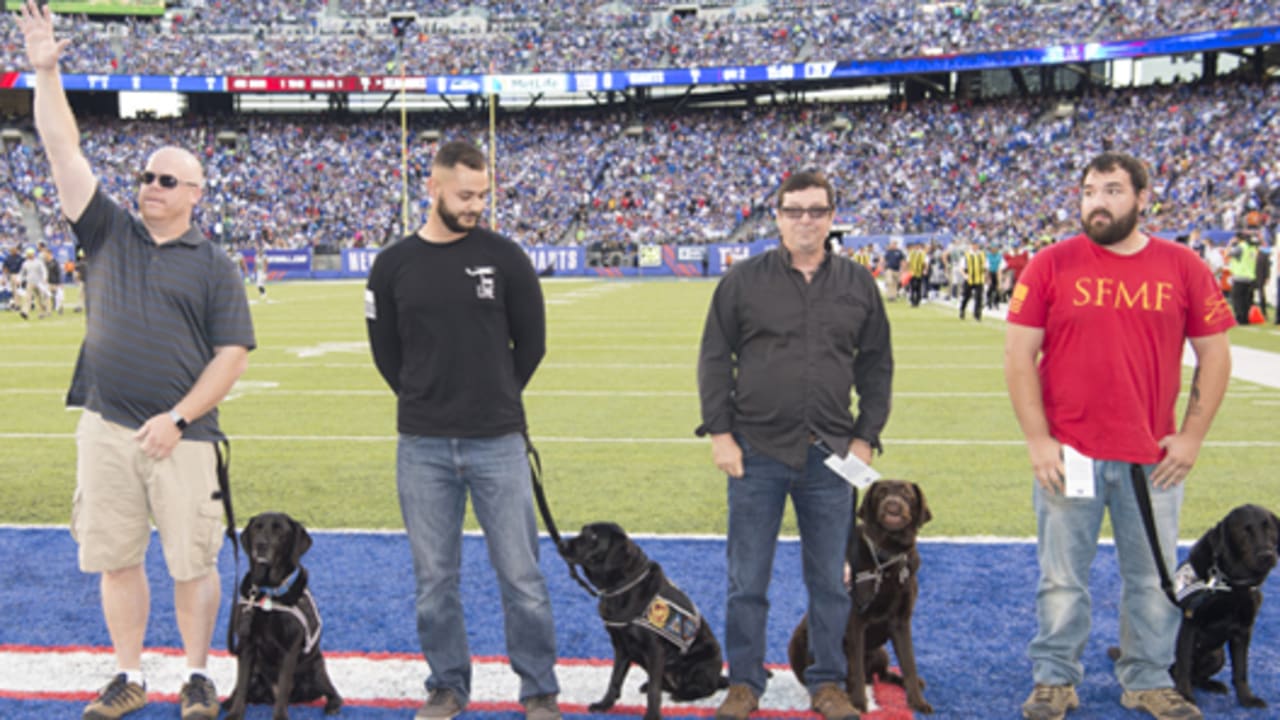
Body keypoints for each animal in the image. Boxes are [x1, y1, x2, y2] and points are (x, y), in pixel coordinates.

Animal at [225, 509, 343, 717]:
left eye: (279, 530)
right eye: (257, 528)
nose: (260, 545)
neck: (269, 591)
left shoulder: (290, 648)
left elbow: (284, 687)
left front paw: (280, 716)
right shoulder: (246, 644)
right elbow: (242, 683)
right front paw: (235, 713)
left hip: (317, 667)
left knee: (332, 691)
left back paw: (333, 705)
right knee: (242, 687)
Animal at [563, 520, 732, 717]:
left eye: (593, 536)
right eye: (583, 531)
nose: (562, 544)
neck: (621, 587)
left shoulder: (655, 650)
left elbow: (653, 691)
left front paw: (652, 715)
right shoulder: (621, 647)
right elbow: (615, 679)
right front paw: (604, 704)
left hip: (703, 660)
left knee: (706, 689)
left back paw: (683, 694)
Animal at [783, 476, 936, 712]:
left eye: (906, 494)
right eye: (882, 493)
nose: (892, 504)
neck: (886, 558)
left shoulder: (901, 621)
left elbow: (909, 663)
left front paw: (918, 701)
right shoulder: (855, 620)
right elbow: (856, 668)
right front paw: (858, 704)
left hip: (881, 653)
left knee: (881, 674)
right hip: (799, 644)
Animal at [1172, 502, 1280, 702]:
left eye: (1269, 527)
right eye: (1244, 531)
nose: (1267, 555)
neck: (1233, 583)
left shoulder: (1243, 629)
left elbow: (1241, 670)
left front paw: (1247, 699)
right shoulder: (1189, 622)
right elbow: (1183, 665)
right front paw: (1186, 698)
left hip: (1218, 656)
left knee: (1197, 677)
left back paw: (1214, 685)